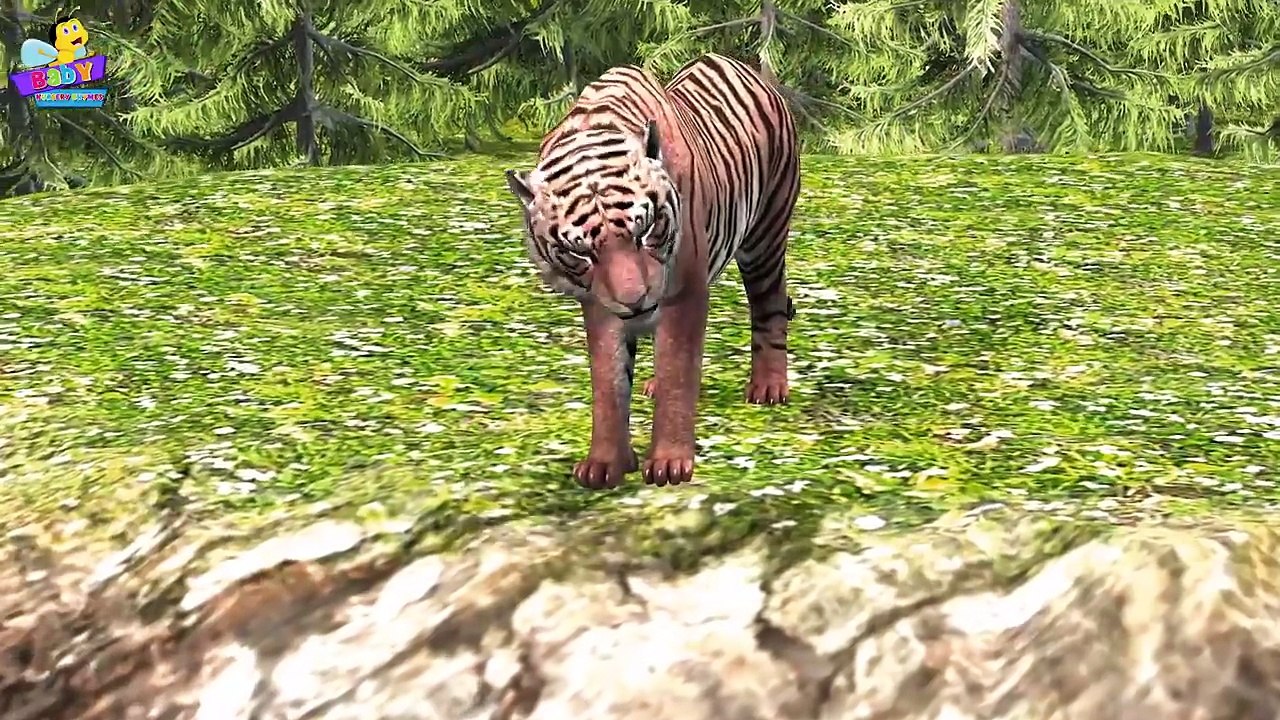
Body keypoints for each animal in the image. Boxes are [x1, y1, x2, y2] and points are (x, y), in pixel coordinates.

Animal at [504, 52, 800, 490]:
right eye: (580, 252)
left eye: (645, 231)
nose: (636, 301)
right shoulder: (599, 304)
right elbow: (609, 381)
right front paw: (604, 464)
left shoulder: (684, 292)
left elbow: (678, 369)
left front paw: (669, 464)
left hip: (765, 235)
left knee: (770, 303)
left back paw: (768, 387)